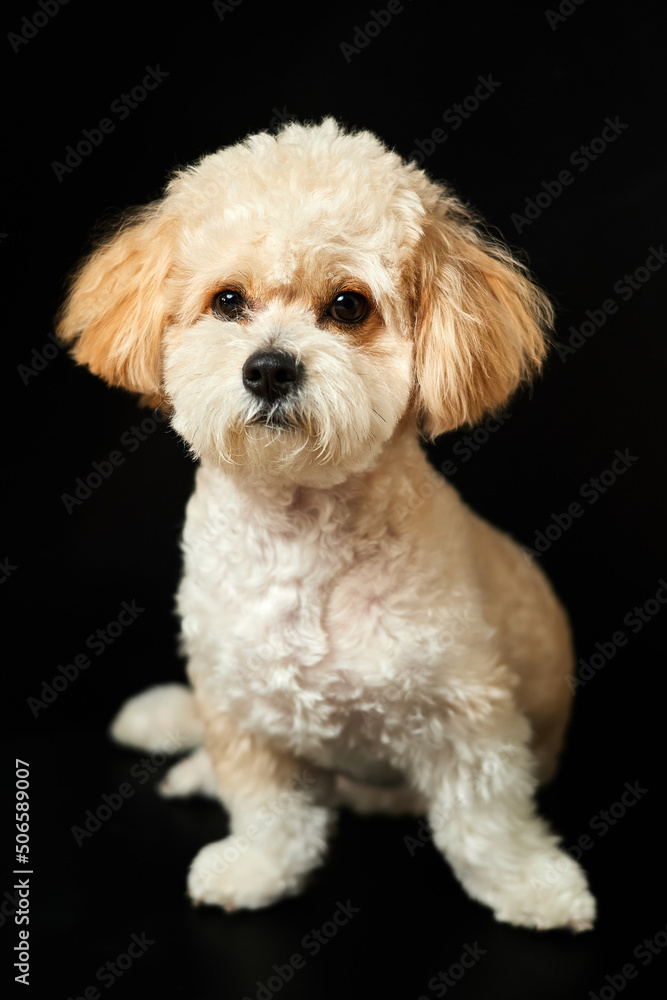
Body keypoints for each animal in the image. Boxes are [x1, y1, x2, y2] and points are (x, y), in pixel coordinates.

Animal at [58, 121, 596, 932]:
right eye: (228, 301)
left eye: (347, 305)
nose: (269, 368)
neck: (303, 535)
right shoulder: (243, 705)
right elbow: (269, 810)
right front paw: (257, 869)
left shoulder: (468, 714)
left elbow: (487, 821)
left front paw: (530, 884)